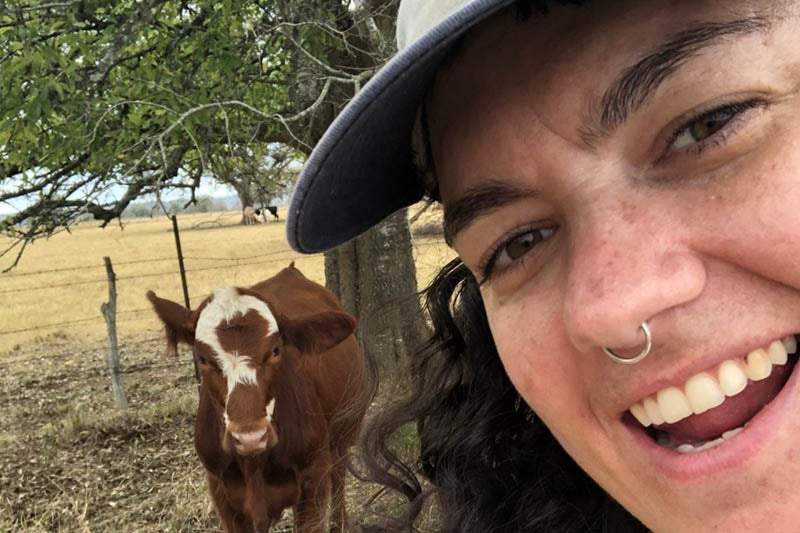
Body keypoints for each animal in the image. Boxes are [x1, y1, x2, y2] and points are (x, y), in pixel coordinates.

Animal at [147, 264, 366, 528]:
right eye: (203, 358)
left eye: (275, 351)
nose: (250, 437)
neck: (253, 465)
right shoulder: (221, 493)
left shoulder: (313, 482)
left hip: (343, 434)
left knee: (339, 479)